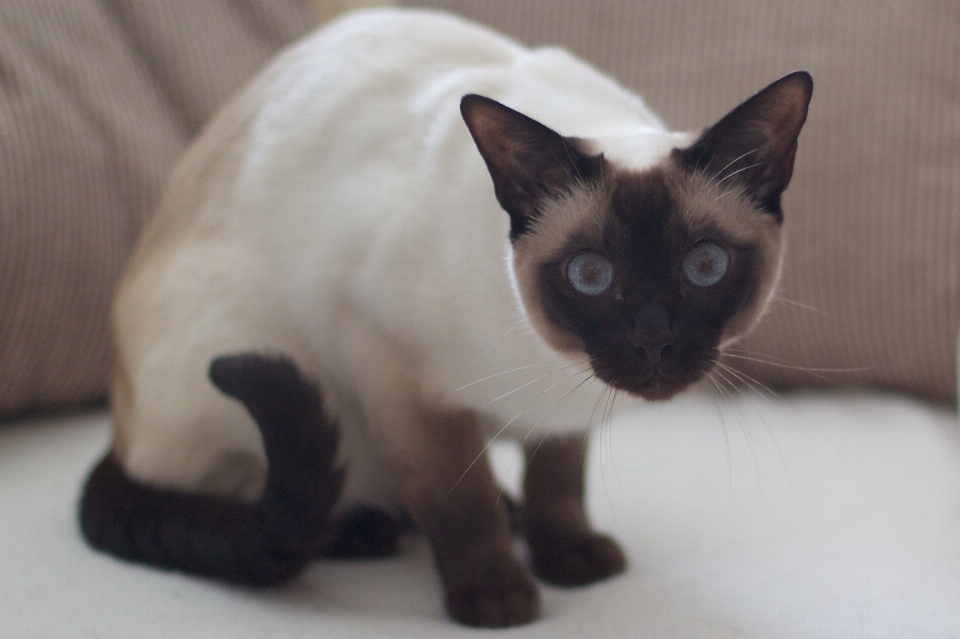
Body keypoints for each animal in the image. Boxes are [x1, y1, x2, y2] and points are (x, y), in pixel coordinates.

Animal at [79, 7, 808, 628]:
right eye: (591, 275)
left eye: (705, 265)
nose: (653, 341)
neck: (551, 371)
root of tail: (119, 420)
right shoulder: (390, 367)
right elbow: (461, 501)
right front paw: (496, 595)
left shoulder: (559, 417)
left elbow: (558, 483)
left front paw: (567, 556)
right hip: (264, 360)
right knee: (257, 487)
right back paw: (360, 529)